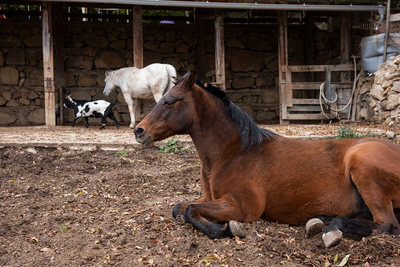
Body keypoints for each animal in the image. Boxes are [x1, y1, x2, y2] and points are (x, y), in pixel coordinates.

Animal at [134, 71, 400, 249]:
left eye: (168, 101)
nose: (139, 131)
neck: (233, 153)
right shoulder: (210, 198)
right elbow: (178, 207)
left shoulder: (242, 206)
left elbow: (189, 210)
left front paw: (226, 229)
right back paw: (319, 221)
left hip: (362, 165)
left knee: (386, 225)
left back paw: (332, 230)